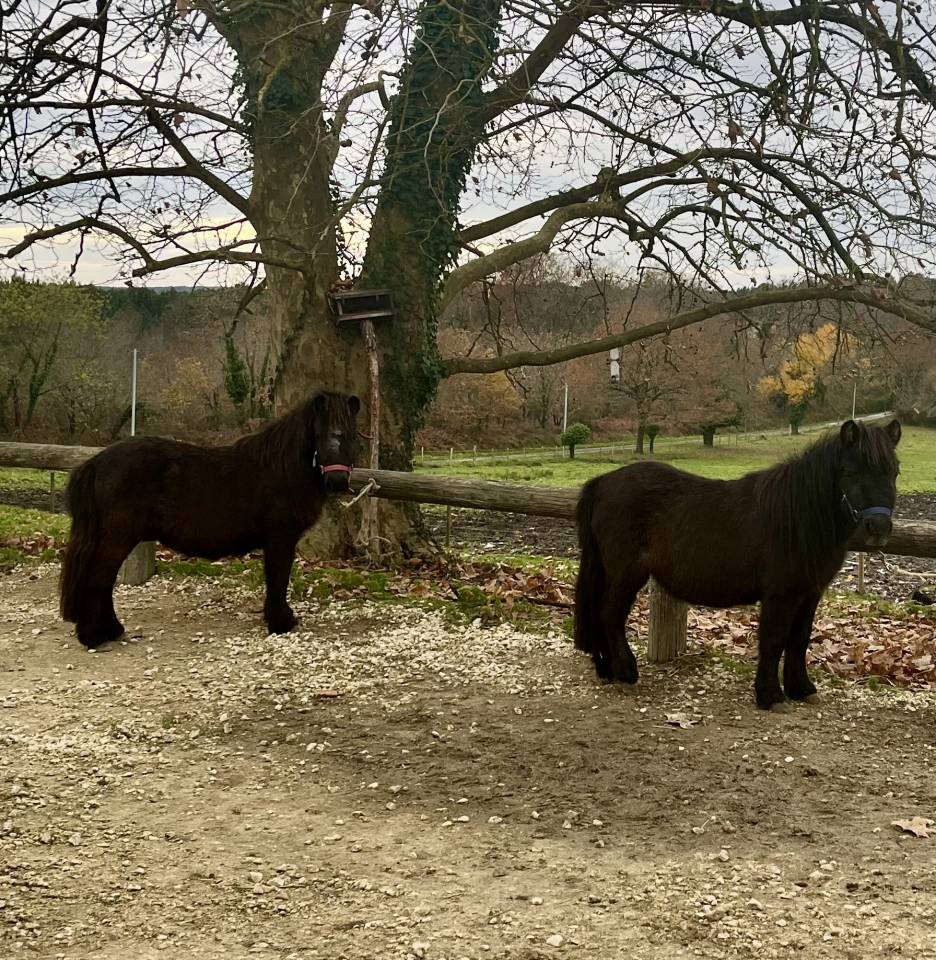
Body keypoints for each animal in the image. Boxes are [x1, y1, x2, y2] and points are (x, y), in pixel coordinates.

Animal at [59, 392, 361, 648]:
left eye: (352, 436)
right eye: (322, 434)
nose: (337, 482)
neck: (281, 470)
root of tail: (96, 463)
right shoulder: (280, 539)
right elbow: (279, 578)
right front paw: (281, 622)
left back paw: (111, 630)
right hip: (117, 537)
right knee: (98, 579)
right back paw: (94, 636)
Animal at [574, 419, 901, 711]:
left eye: (894, 471)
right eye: (849, 471)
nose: (878, 527)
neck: (795, 519)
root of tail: (603, 481)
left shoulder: (810, 593)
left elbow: (799, 639)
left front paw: (801, 689)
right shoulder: (780, 595)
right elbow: (774, 640)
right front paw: (771, 696)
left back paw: (608, 670)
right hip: (626, 574)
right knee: (610, 615)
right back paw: (626, 673)